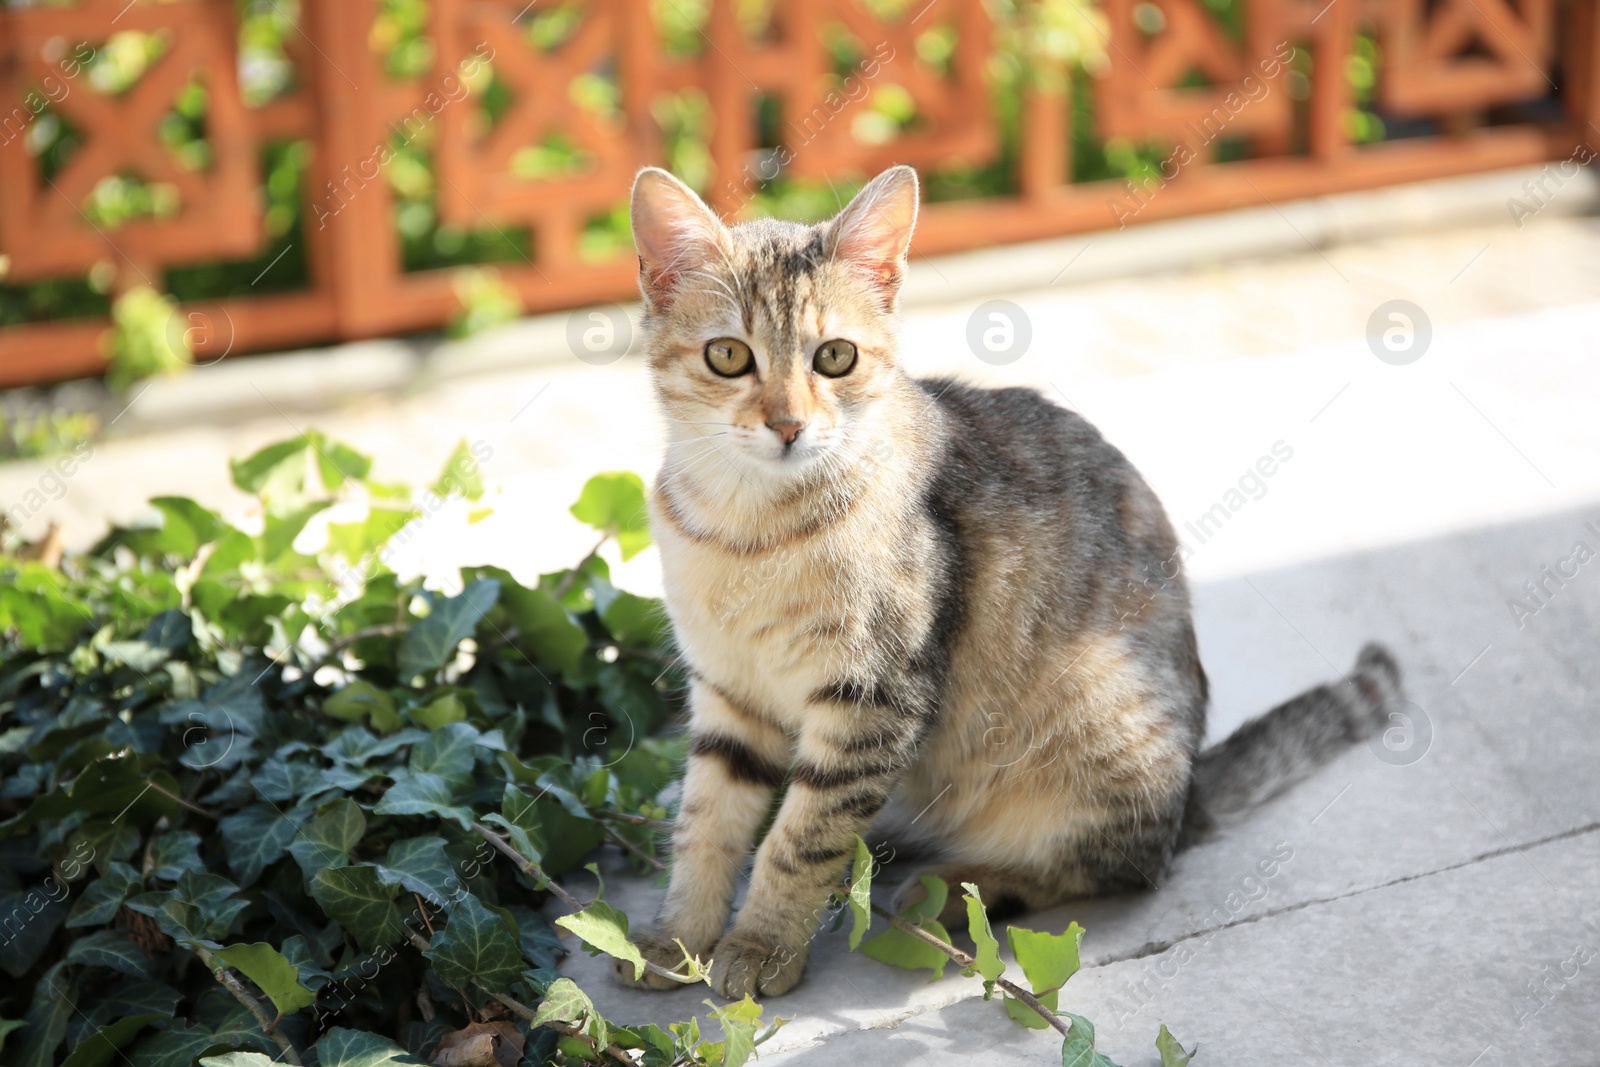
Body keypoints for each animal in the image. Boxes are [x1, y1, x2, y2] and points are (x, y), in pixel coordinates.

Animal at [611, 164, 1401, 1004]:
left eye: (835, 357)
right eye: (729, 355)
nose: (789, 425)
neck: (748, 528)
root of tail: (1188, 792)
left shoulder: (874, 698)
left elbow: (801, 837)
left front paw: (763, 943)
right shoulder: (729, 693)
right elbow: (706, 823)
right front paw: (676, 936)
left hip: (1097, 723)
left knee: (1111, 869)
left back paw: (956, 891)